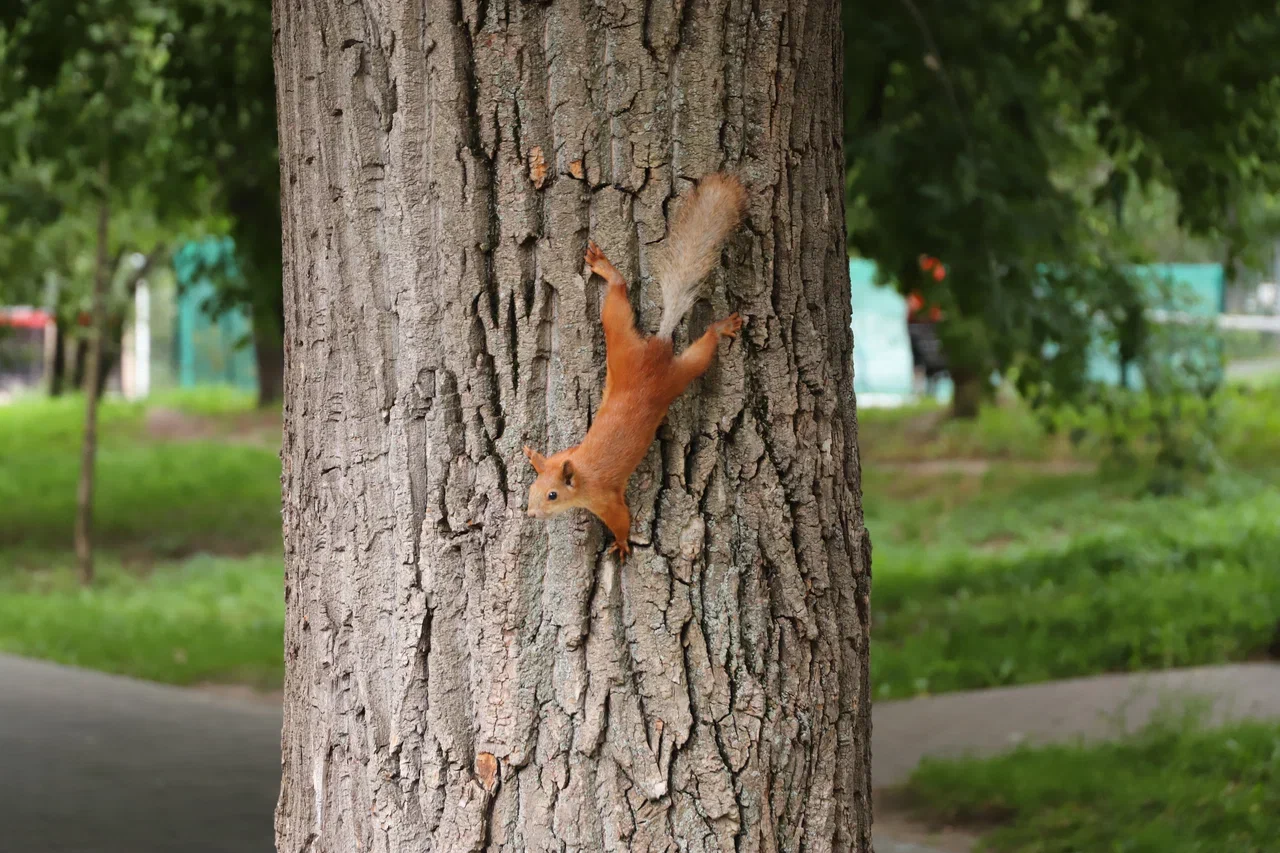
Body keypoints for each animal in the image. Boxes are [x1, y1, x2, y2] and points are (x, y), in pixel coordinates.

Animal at [523, 172, 749, 561]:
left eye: (552, 495)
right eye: (533, 488)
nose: (531, 513)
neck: (581, 473)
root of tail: (656, 350)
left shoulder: (605, 498)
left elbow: (621, 519)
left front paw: (622, 544)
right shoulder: (566, 455)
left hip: (679, 373)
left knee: (702, 347)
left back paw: (721, 327)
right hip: (622, 342)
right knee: (619, 296)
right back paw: (605, 268)